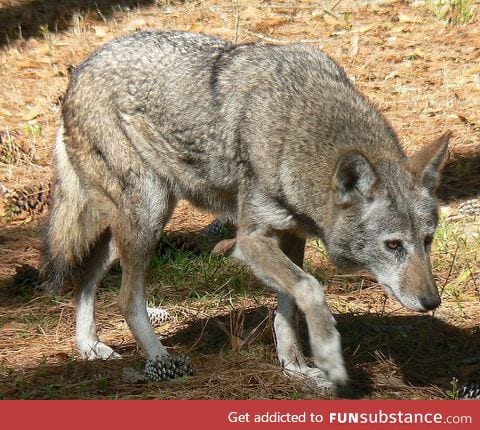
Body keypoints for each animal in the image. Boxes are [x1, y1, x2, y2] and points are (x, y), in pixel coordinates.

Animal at [41, 30, 450, 392]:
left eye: (427, 241)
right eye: (393, 245)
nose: (432, 302)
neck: (294, 127)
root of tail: (79, 71)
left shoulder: (291, 235)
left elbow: (288, 309)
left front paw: (295, 367)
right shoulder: (250, 240)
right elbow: (311, 287)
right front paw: (329, 358)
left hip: (137, 223)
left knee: (85, 276)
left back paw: (89, 347)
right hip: (148, 215)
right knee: (126, 298)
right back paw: (161, 362)